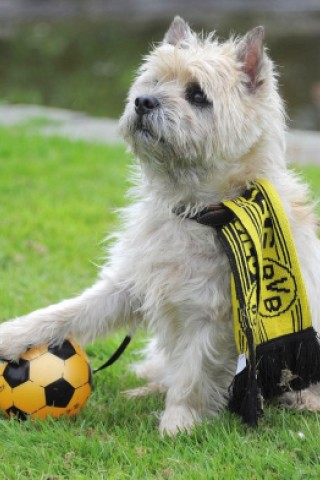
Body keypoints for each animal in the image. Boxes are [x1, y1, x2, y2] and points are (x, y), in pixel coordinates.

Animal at [0, 16, 320, 434]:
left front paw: (178, 422)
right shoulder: (129, 283)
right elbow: (67, 312)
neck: (195, 209)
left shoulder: (213, 316)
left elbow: (193, 372)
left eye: (197, 95)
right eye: (153, 83)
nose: (143, 102)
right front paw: (11, 335)